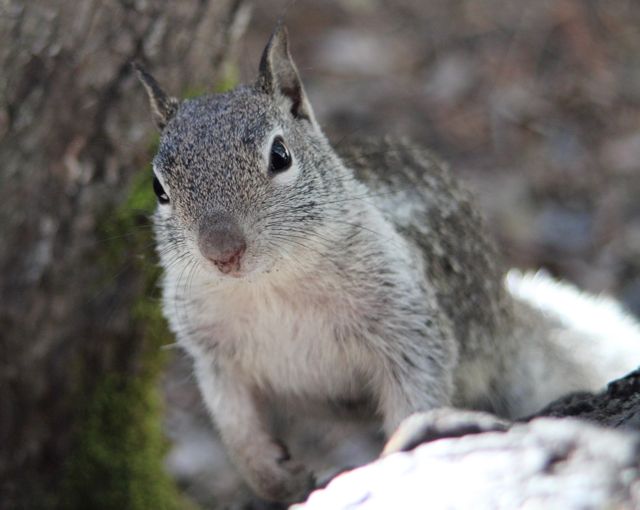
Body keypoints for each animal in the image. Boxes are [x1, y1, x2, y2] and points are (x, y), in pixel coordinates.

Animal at [134, 26, 640, 503]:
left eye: (280, 155)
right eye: (159, 189)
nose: (222, 251)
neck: (268, 287)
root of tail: (508, 313)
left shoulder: (407, 325)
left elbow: (416, 391)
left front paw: (402, 447)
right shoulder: (213, 356)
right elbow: (234, 423)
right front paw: (274, 477)